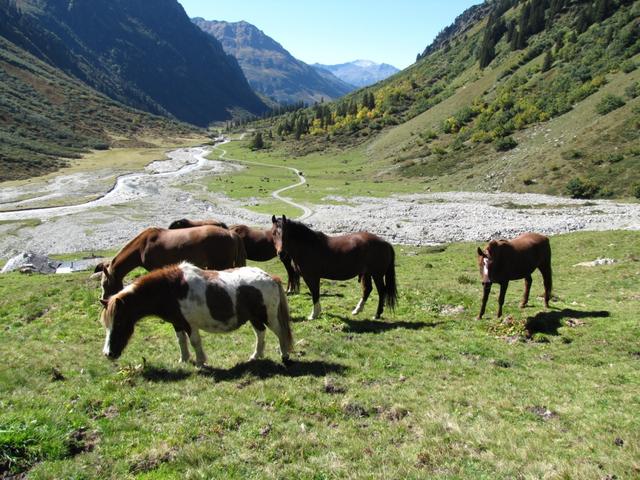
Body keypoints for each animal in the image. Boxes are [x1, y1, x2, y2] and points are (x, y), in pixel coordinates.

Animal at [100, 264, 296, 366]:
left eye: (119, 322)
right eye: (107, 325)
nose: (108, 354)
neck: (171, 290)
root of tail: (271, 278)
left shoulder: (189, 324)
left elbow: (194, 341)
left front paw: (201, 362)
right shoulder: (177, 323)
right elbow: (181, 341)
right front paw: (184, 359)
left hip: (268, 316)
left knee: (280, 333)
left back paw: (284, 356)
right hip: (254, 318)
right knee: (260, 333)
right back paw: (256, 356)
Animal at [268, 216, 396, 320]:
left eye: (287, 234)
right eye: (273, 233)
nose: (281, 254)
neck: (308, 246)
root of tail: (385, 243)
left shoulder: (312, 277)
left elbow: (315, 293)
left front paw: (314, 315)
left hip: (377, 275)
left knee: (381, 291)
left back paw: (377, 314)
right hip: (366, 273)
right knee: (367, 289)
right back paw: (357, 310)